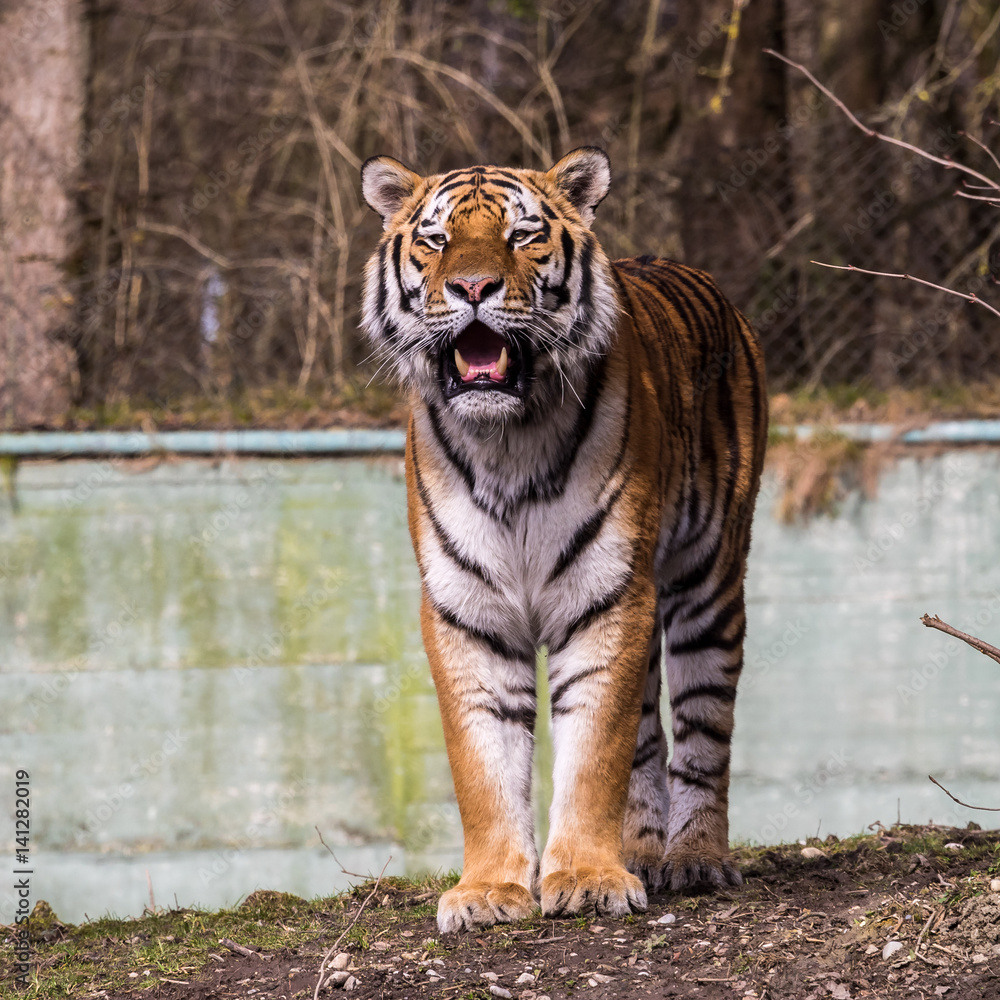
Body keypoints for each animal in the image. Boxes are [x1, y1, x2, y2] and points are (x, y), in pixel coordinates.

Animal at [360, 146, 767, 933]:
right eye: (435, 240)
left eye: (521, 237)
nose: (473, 286)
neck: (507, 440)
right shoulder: (468, 612)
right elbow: (484, 765)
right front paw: (490, 890)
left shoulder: (608, 595)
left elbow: (593, 752)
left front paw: (584, 878)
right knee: (648, 737)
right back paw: (642, 851)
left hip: (709, 581)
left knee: (703, 728)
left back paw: (695, 857)